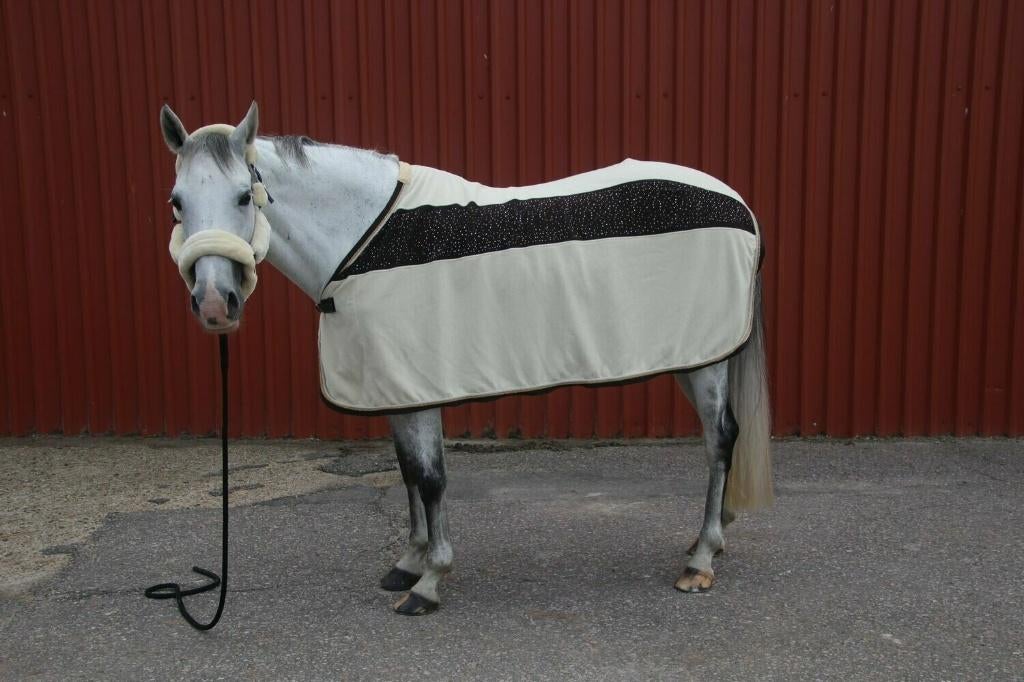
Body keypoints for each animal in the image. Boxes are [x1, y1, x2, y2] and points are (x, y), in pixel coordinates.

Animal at [158, 101, 772, 616]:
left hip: (707, 360)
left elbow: (431, 479)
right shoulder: (393, 387)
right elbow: (407, 472)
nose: (214, 304)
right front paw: (408, 563)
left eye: (244, 196)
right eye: (177, 202)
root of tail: (740, 205)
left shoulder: (418, 387)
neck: (360, 239)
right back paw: (706, 541)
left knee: (720, 439)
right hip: (694, 356)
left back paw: (701, 561)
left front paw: (430, 582)